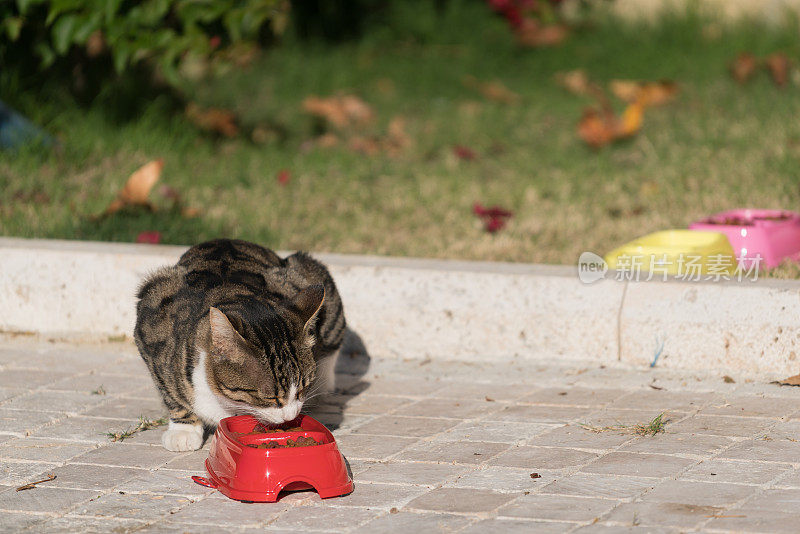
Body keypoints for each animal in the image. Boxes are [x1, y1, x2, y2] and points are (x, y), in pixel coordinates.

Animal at [134, 239, 344, 452]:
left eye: (304, 388)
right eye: (270, 398)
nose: (290, 417)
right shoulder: (149, 326)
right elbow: (169, 391)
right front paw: (183, 430)